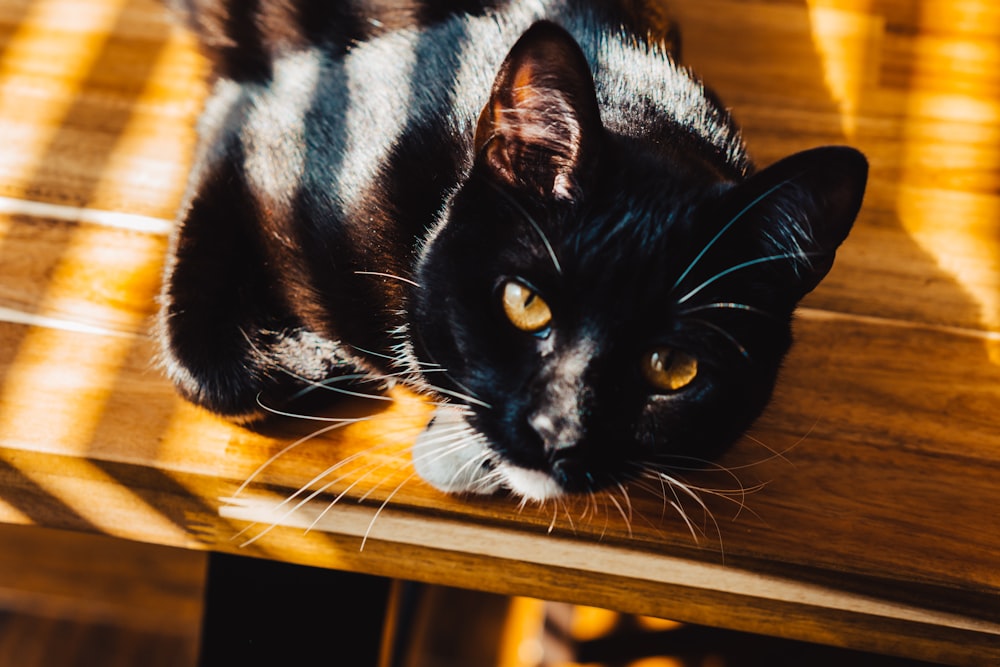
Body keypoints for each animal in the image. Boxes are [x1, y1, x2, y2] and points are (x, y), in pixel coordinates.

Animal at [158, 0, 868, 500]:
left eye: (673, 368)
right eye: (523, 304)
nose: (560, 432)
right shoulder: (257, 124)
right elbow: (214, 373)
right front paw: (314, 358)